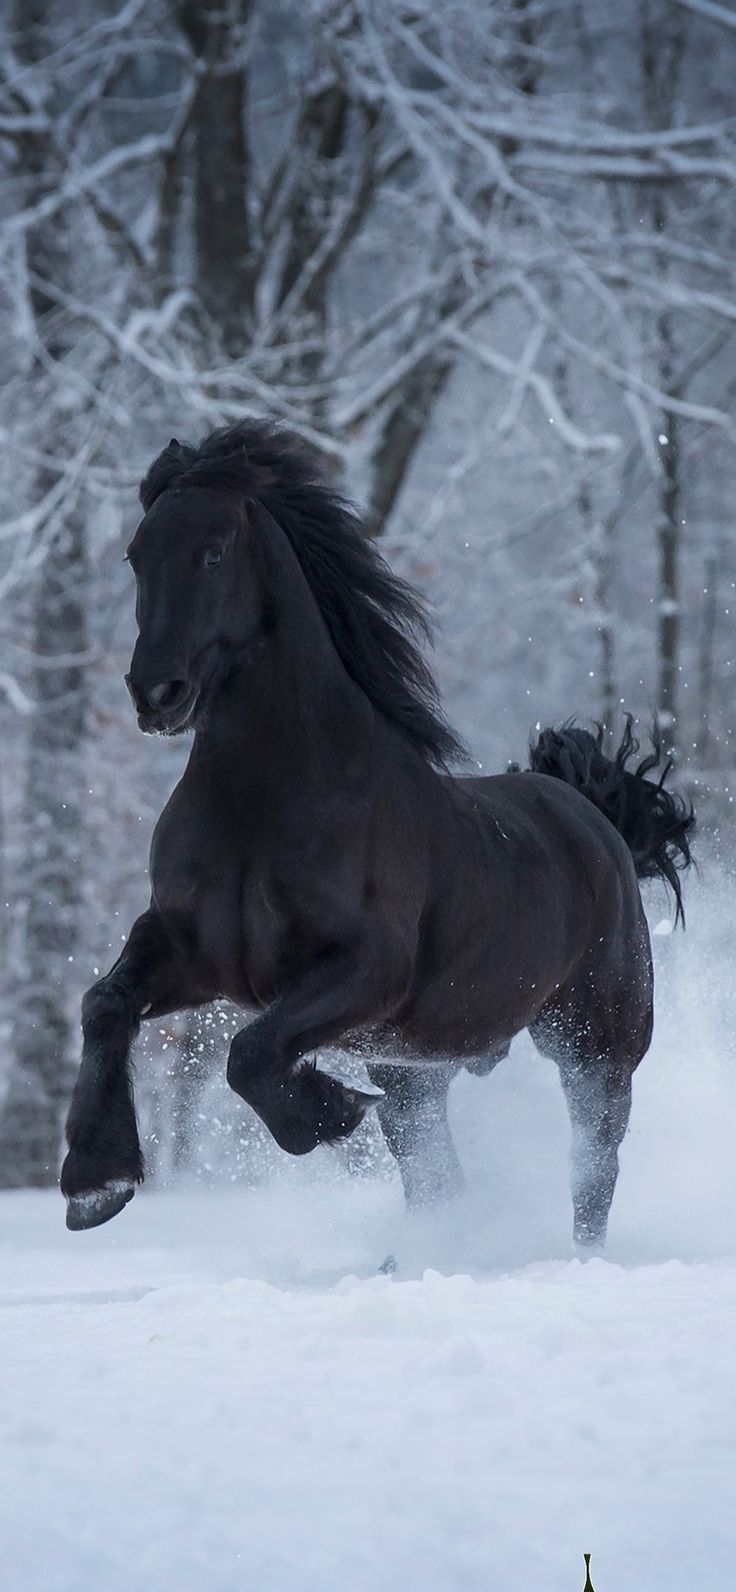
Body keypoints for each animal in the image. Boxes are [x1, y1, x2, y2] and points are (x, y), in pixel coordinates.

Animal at [60, 420, 691, 1241]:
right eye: (136, 555)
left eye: (214, 550)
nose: (156, 692)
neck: (265, 805)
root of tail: (595, 819)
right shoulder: (193, 950)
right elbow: (105, 1004)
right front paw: (94, 1181)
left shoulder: (367, 971)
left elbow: (249, 1054)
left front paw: (328, 1112)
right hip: (420, 1069)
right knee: (436, 1174)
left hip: (597, 1047)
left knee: (594, 1167)